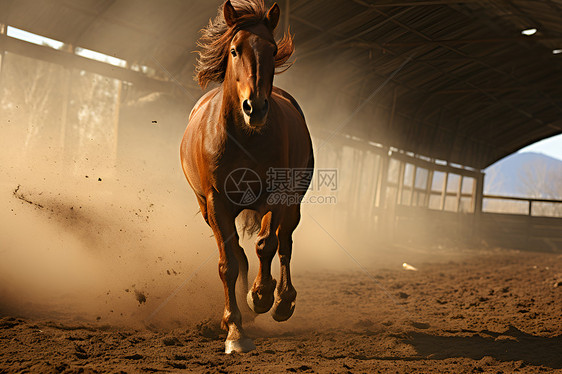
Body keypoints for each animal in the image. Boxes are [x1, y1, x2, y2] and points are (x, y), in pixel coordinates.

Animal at [179, 0, 310, 354]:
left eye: (272, 49)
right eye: (235, 50)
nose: (256, 107)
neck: (243, 137)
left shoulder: (276, 196)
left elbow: (267, 244)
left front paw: (262, 296)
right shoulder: (215, 202)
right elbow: (228, 264)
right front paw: (235, 330)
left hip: (294, 202)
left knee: (285, 242)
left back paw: (283, 301)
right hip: (208, 209)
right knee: (238, 251)